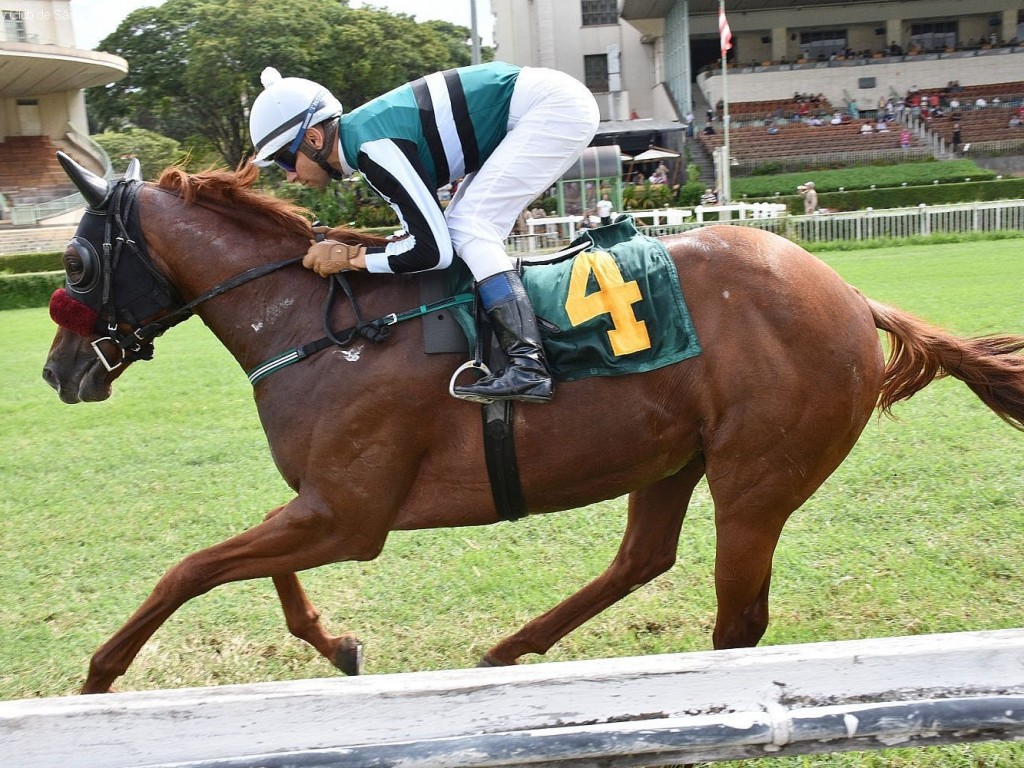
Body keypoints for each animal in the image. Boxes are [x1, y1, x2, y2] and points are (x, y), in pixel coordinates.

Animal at [46, 157, 1024, 696]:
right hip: (673, 456)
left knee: (737, 618)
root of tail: (853, 296)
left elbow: (189, 568)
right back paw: (508, 650)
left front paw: (98, 673)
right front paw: (340, 643)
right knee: (641, 560)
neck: (322, 324)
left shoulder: (349, 517)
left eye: (77, 261)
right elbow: (249, 569)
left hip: (757, 479)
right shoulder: (324, 506)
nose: (59, 372)